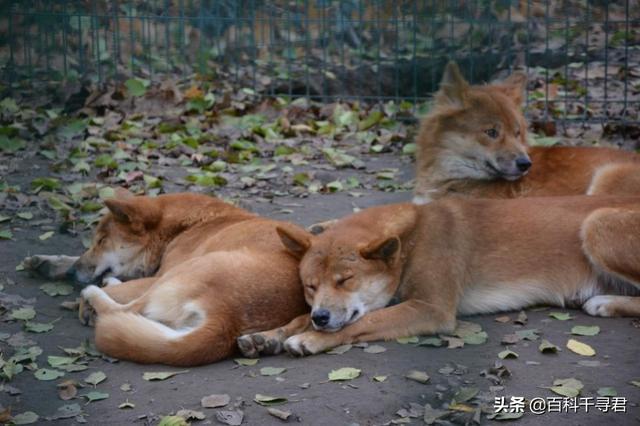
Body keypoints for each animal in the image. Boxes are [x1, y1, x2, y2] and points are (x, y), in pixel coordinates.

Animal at [70, 191, 308, 364]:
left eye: (101, 241)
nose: (71, 272)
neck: (186, 225)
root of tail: (227, 320)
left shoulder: (158, 276)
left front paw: (85, 305)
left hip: (186, 270)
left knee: (124, 309)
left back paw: (93, 294)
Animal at [239, 196, 640, 356]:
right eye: (310, 286)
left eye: (345, 280)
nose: (321, 317)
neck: (413, 238)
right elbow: (297, 318)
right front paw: (269, 335)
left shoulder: (431, 308)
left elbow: (360, 323)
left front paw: (310, 339)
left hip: (597, 224)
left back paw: (606, 301)